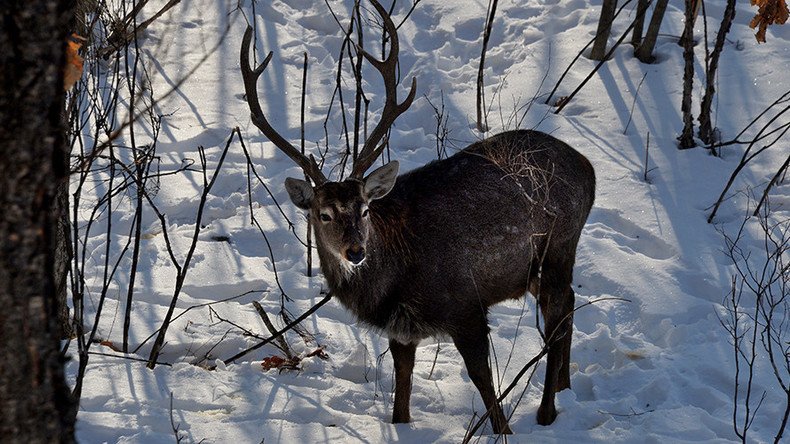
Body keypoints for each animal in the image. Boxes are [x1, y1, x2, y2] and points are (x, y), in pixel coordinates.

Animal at [241, 1, 592, 436]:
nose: (356, 251)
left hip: (560, 244)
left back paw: (547, 411)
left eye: (365, 209)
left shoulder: (466, 306)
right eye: (323, 214)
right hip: (534, 269)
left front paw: (504, 430)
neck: (396, 281)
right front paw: (402, 424)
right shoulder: (401, 331)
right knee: (570, 304)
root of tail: (589, 168)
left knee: (558, 319)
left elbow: (483, 381)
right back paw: (564, 386)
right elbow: (402, 392)